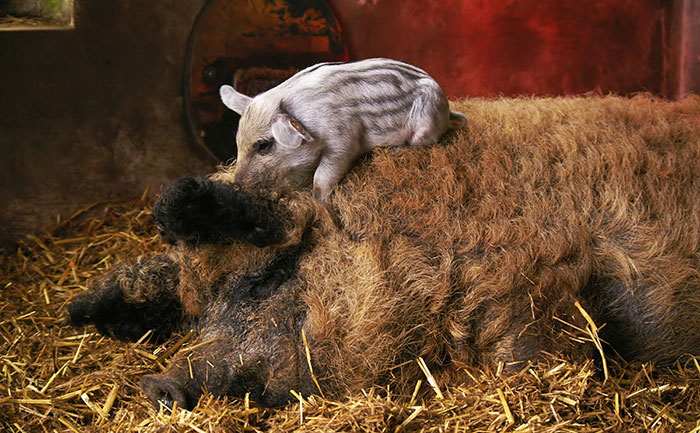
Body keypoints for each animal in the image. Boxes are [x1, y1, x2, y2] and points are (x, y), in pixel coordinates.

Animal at [219, 58, 467, 201]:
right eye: (237, 142)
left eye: (263, 145)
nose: (236, 184)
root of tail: (446, 110)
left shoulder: (343, 140)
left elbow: (322, 177)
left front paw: (320, 201)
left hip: (426, 124)